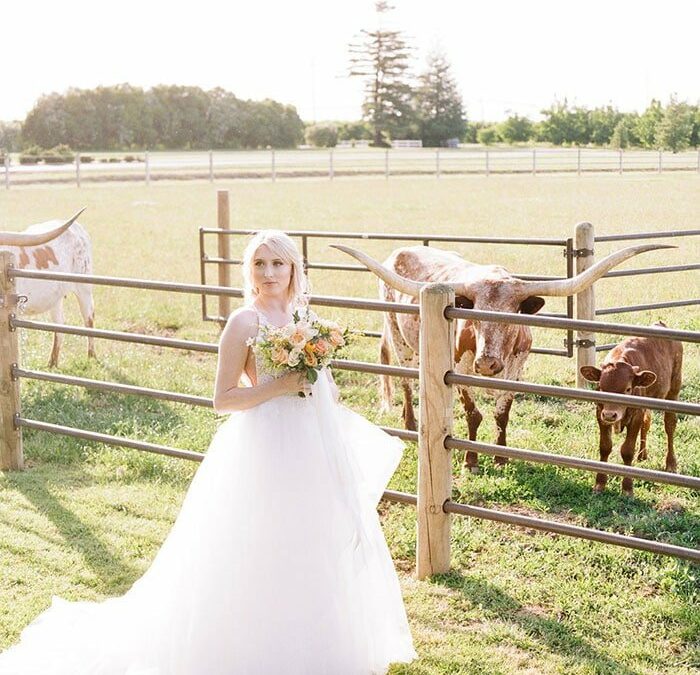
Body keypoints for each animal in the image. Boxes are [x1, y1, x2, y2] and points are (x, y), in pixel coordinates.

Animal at [0, 211, 95, 370]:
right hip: (55, 297)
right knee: (59, 324)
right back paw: (52, 364)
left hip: (84, 288)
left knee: (89, 319)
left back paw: (91, 358)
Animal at [334, 244, 672, 476]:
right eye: (474, 315)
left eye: (511, 317)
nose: (487, 364)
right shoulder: (458, 369)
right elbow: (473, 414)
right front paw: (470, 460)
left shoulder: (515, 371)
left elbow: (502, 414)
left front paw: (500, 456)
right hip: (398, 335)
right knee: (405, 378)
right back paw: (411, 422)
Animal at [580, 328, 684, 496]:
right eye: (601, 387)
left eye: (628, 389)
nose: (610, 415)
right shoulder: (600, 414)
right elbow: (605, 446)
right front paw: (600, 484)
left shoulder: (635, 416)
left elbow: (627, 450)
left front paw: (627, 488)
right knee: (646, 424)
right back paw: (642, 455)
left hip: (673, 391)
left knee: (670, 425)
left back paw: (671, 464)